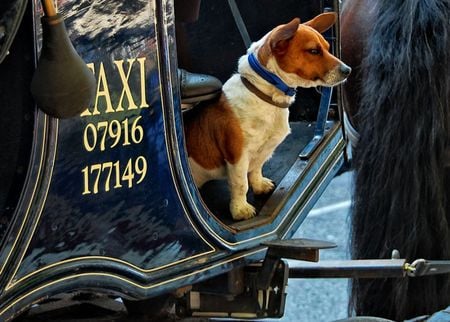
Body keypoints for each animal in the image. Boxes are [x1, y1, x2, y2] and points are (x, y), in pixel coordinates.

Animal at [183, 11, 352, 219]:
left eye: (328, 48)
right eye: (314, 51)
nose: (348, 70)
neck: (264, 93)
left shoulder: (260, 153)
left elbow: (255, 170)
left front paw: (259, 186)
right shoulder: (238, 156)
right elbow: (240, 184)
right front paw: (240, 209)